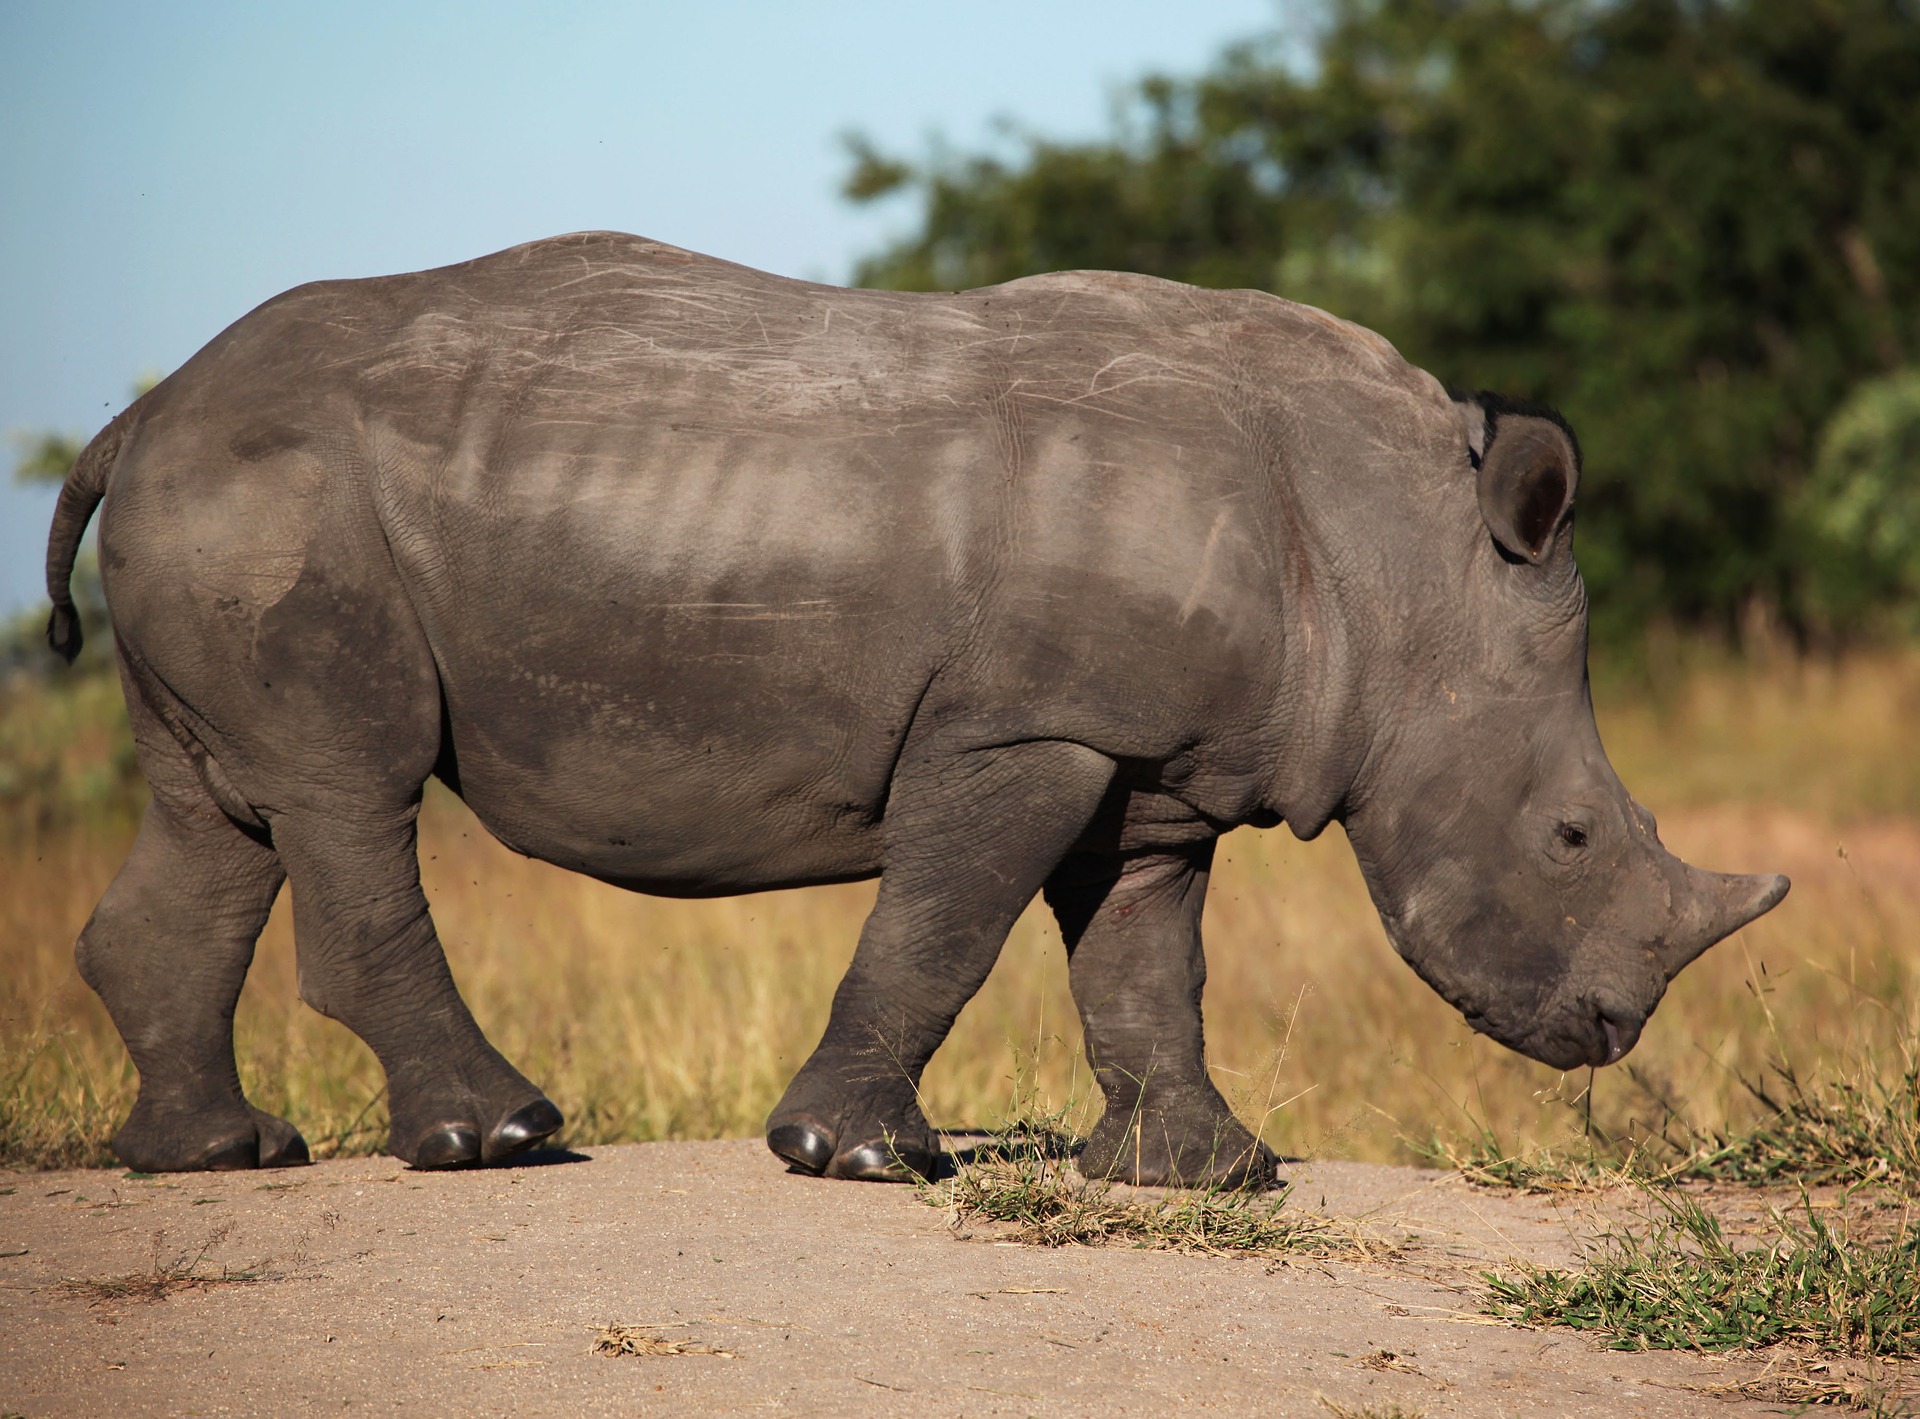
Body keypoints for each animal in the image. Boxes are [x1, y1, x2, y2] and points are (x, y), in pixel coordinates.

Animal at [41, 233, 1781, 1190]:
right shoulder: (1027, 726)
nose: (1610, 1032)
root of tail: (141, 410)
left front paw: (1210, 1175)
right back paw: (503, 1136)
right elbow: (944, 925)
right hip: (282, 493)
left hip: (228, 498)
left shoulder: (1148, 756)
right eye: (1571, 832)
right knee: (349, 784)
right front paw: (859, 1158)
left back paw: (221, 1153)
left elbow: (1147, 963)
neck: (1397, 563)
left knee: (226, 806)